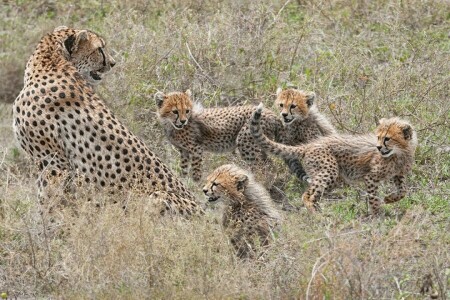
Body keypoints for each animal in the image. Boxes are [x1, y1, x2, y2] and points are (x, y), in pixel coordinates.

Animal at [12, 25, 202, 213]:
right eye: (99, 49)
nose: (112, 63)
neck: (51, 62)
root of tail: (203, 210)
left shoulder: (54, 164)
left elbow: (49, 203)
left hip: (156, 196)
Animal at [248, 103, 416, 213]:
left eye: (387, 139)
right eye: (378, 137)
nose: (379, 147)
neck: (399, 153)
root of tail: (310, 145)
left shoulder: (398, 174)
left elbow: (403, 190)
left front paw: (390, 199)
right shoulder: (371, 177)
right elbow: (374, 197)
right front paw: (377, 214)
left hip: (329, 177)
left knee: (314, 192)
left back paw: (318, 209)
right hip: (329, 171)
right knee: (306, 195)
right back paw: (315, 214)